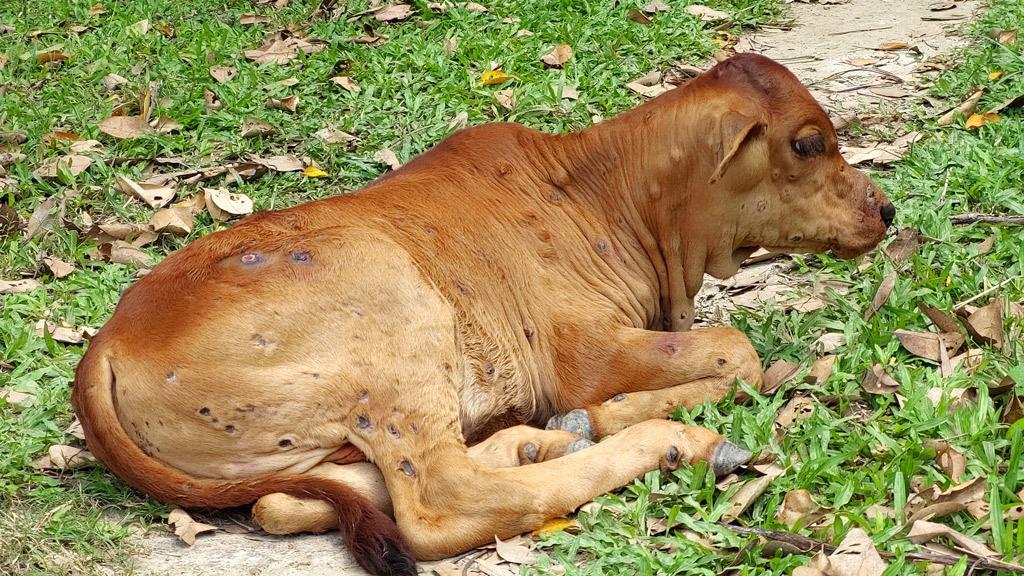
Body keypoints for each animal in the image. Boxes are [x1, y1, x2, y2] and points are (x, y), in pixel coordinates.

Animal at [72, 52, 892, 569]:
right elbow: (738, 350)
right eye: (808, 143)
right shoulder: (582, 351)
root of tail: (106, 343)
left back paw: (539, 439)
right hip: (396, 315)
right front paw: (622, 413)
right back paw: (669, 442)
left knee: (286, 500)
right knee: (439, 504)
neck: (603, 194)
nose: (885, 209)